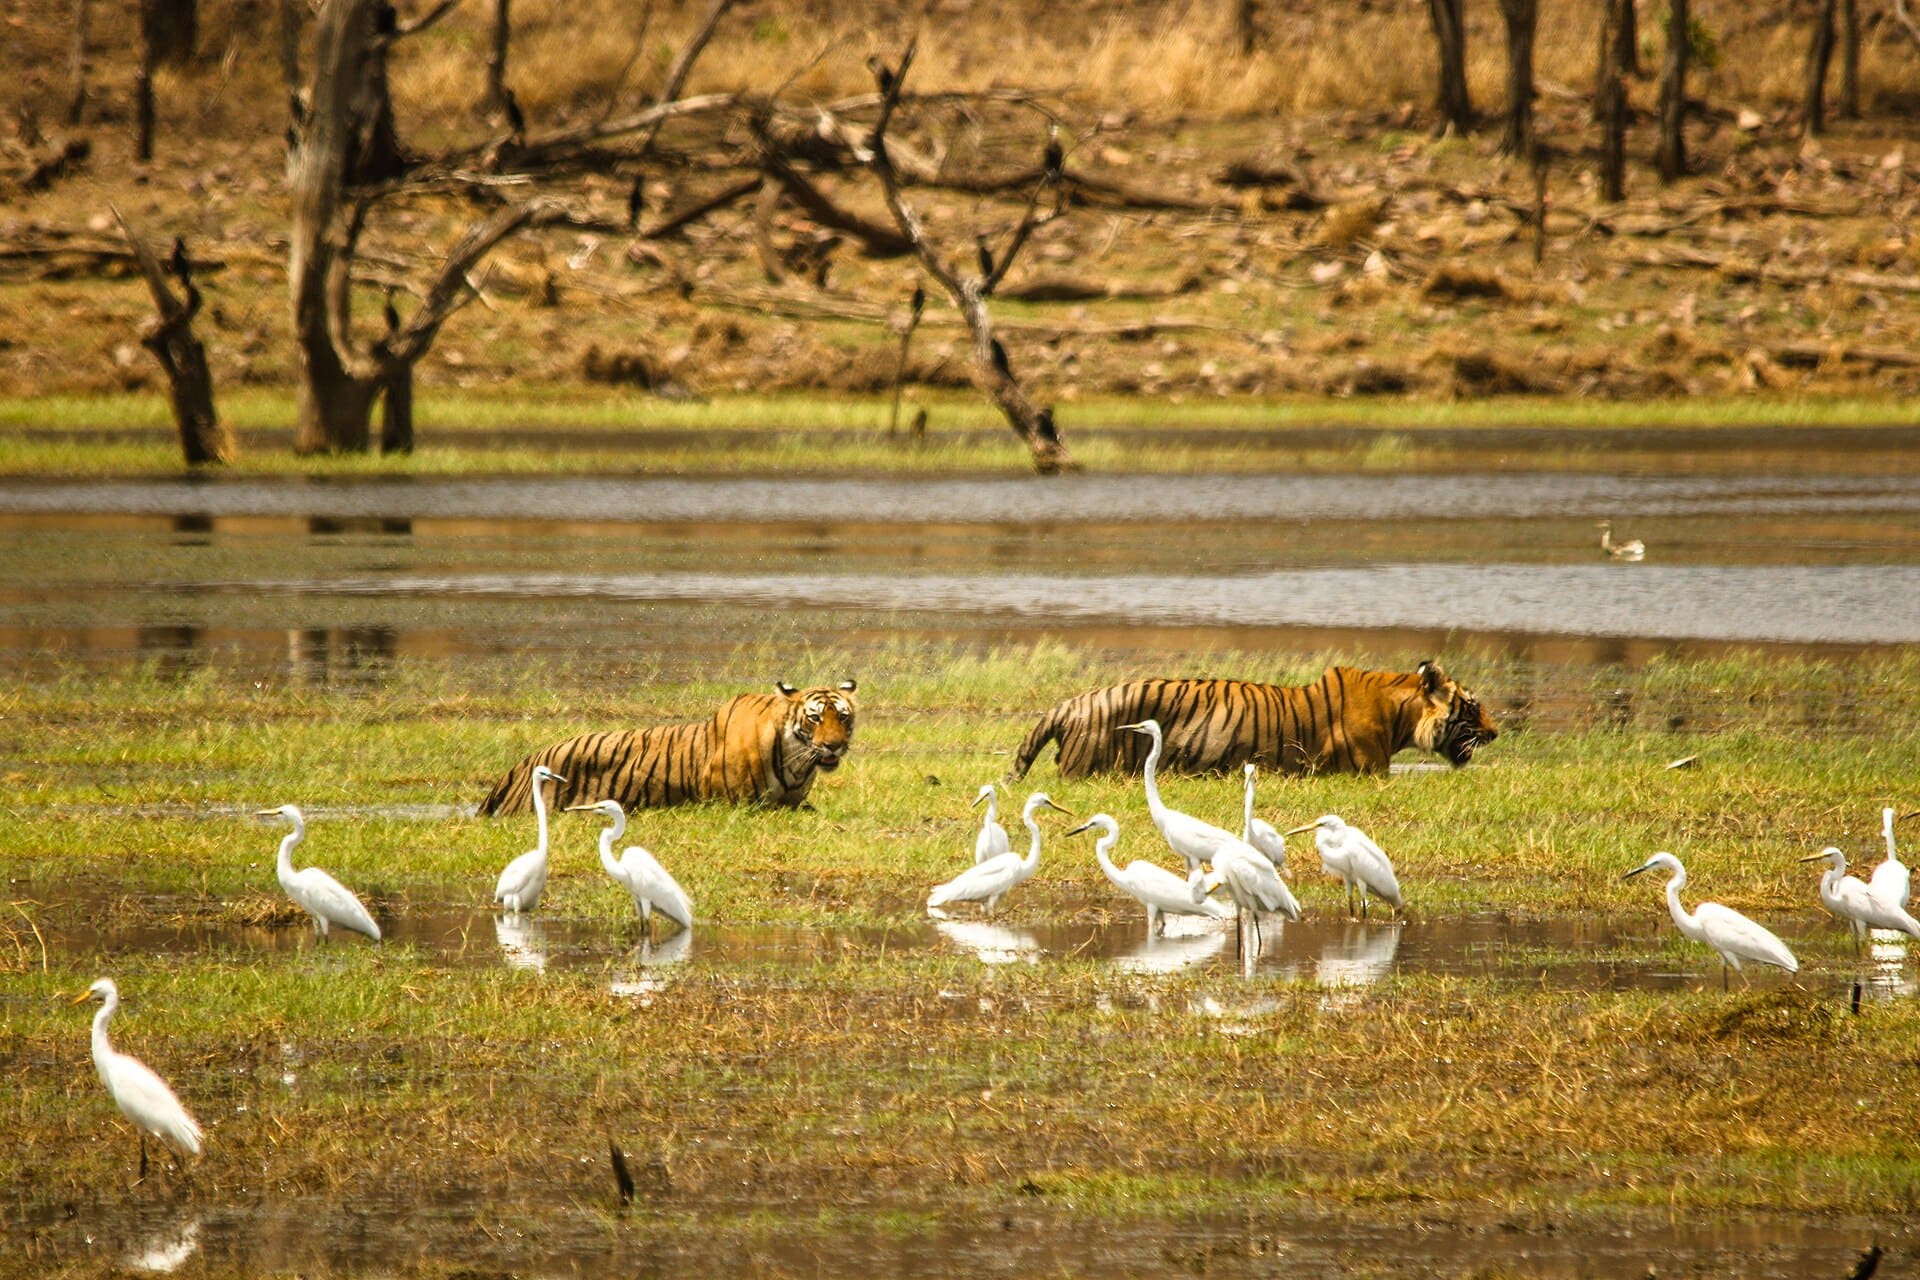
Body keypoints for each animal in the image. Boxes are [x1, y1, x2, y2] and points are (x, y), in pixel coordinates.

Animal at [478, 681, 857, 815]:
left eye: (842, 717)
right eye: (814, 718)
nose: (834, 746)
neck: (798, 763)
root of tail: (525, 761)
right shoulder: (733, 804)